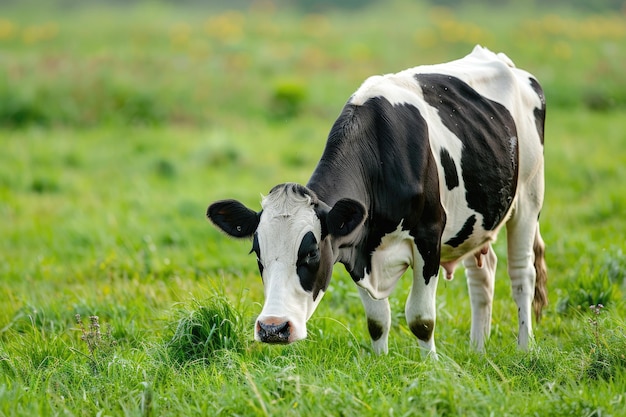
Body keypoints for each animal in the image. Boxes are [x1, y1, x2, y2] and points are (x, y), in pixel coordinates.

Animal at [207, 46, 544, 358]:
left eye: (312, 252)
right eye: (257, 251)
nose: (273, 328)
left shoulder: (429, 235)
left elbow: (421, 318)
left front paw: (431, 367)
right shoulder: (355, 247)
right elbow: (377, 320)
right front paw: (380, 362)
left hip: (529, 198)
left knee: (521, 275)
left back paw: (525, 349)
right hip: (476, 223)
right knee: (482, 274)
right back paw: (477, 350)